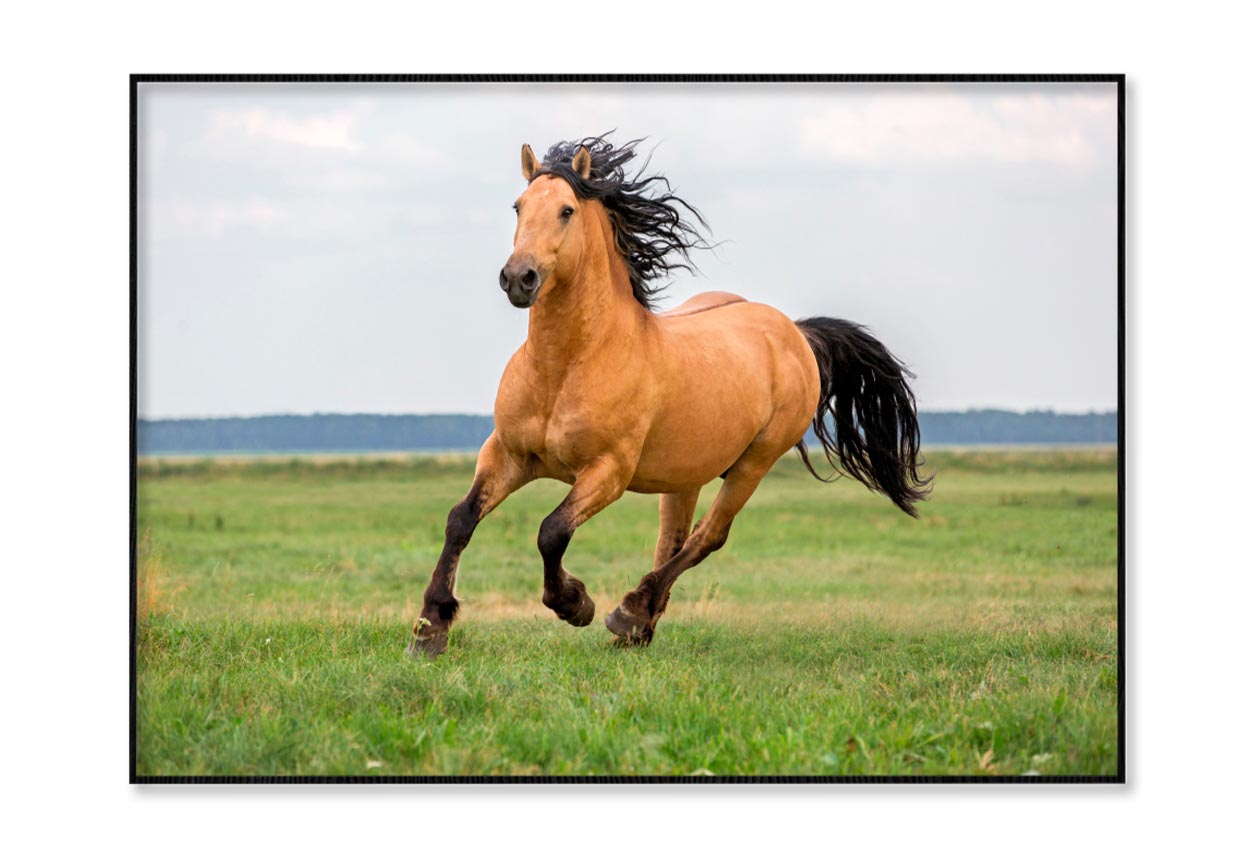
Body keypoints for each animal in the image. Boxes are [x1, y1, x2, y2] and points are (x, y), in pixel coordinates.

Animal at [407, 135, 930, 658]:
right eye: (518, 206)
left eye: (566, 210)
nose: (519, 277)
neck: (566, 366)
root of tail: (795, 333)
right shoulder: (507, 454)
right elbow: (460, 520)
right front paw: (431, 627)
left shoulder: (608, 471)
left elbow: (551, 531)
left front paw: (575, 603)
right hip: (686, 474)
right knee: (673, 540)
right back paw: (639, 626)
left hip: (754, 463)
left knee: (707, 537)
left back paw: (629, 612)